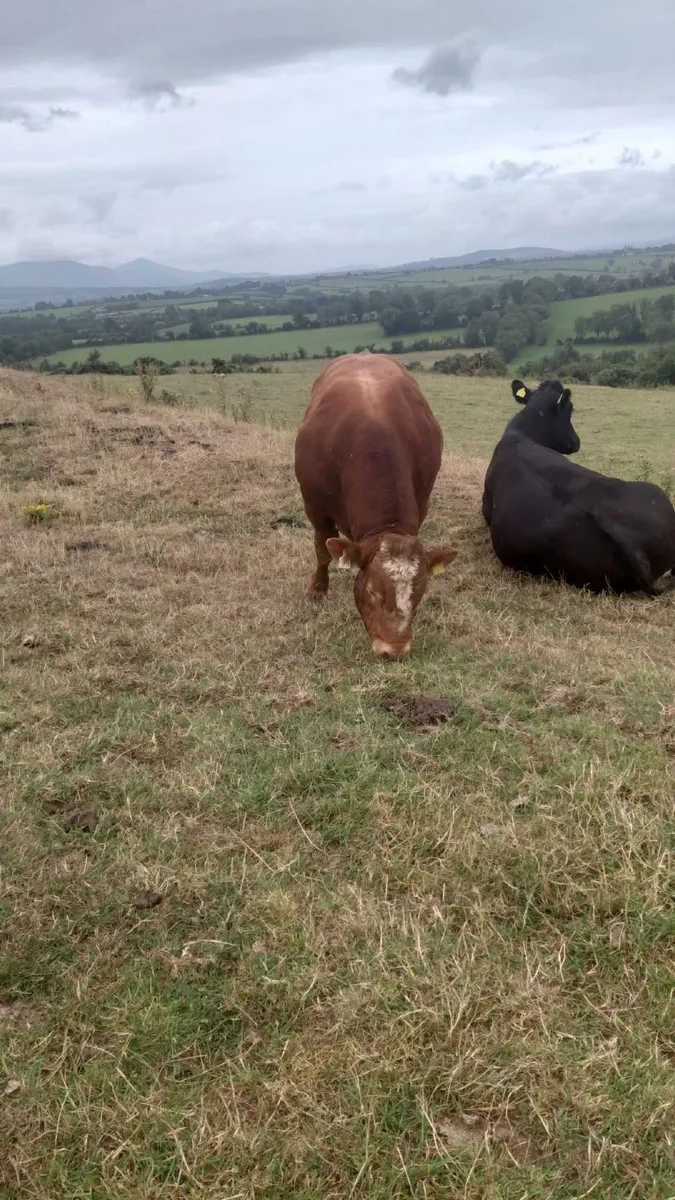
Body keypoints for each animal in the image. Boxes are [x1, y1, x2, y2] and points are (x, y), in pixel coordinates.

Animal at [294, 353, 457, 658]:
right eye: (372, 592)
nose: (394, 649)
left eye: (419, 596)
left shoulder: (422, 502)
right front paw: (318, 589)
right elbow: (322, 551)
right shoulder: (315, 507)